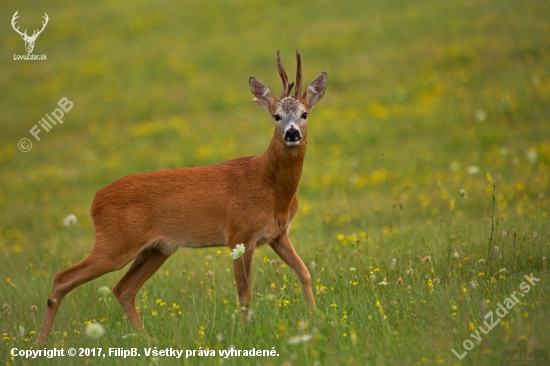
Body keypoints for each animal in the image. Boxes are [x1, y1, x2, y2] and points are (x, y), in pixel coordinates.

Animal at [37, 50, 328, 344]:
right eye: (276, 116)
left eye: (304, 113)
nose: (292, 133)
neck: (269, 187)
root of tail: (94, 202)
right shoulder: (240, 236)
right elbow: (244, 296)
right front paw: (246, 335)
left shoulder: (278, 234)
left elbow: (304, 272)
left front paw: (315, 317)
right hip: (115, 244)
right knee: (62, 277)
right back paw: (41, 342)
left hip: (156, 249)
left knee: (123, 289)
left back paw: (147, 340)